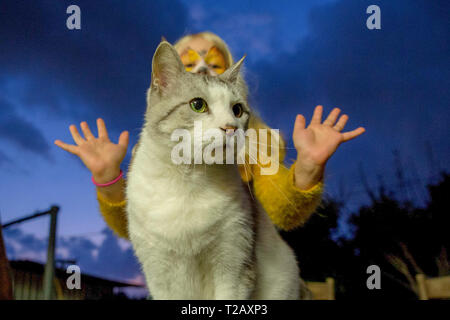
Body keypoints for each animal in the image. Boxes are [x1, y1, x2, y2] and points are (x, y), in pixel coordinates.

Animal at [126, 41, 300, 298]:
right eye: (198, 105)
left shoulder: (234, 266)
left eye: (237, 110)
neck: (189, 177)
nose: (230, 127)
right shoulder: (158, 272)